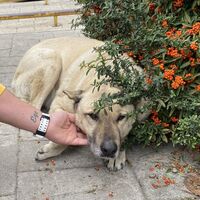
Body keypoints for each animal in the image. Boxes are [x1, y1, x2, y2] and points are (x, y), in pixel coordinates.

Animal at [11, 36, 148, 170]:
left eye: (121, 117)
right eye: (93, 116)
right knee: (34, 106)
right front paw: (52, 148)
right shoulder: (59, 104)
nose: (109, 150)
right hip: (53, 60)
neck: (109, 76)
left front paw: (118, 155)